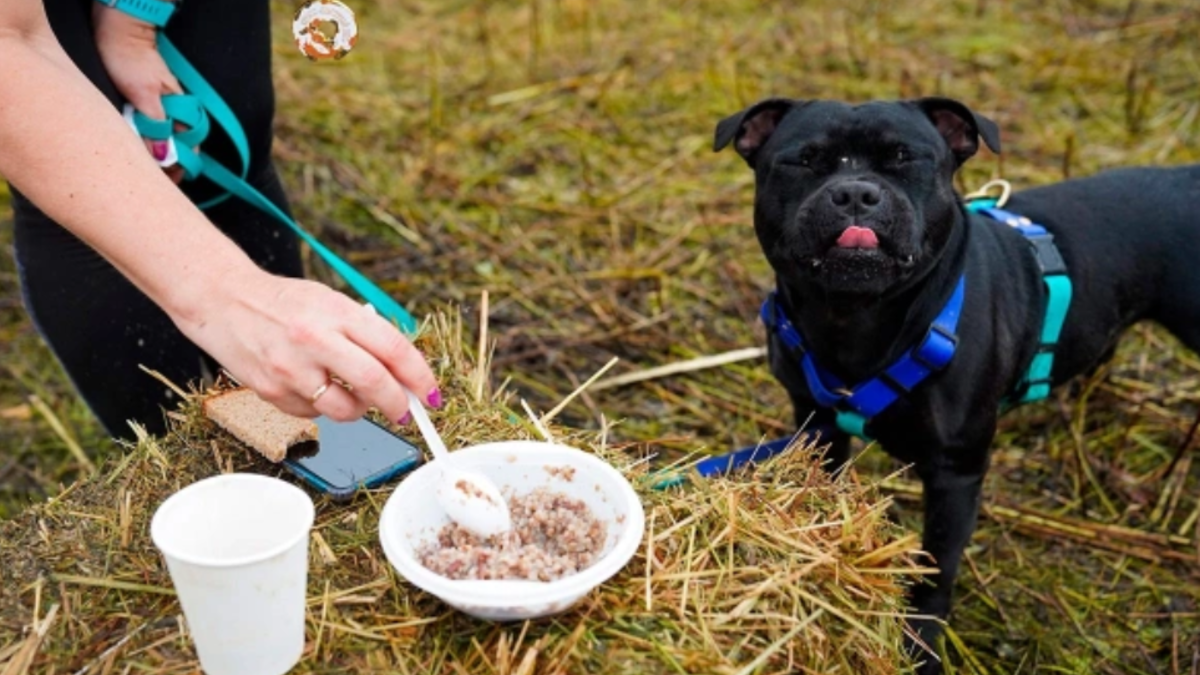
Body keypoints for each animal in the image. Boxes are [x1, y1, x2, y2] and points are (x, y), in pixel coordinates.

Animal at [710, 97, 1200, 667]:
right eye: (804, 160)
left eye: (905, 158)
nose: (855, 193)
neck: (854, 319)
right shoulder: (818, 427)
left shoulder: (955, 472)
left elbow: (935, 566)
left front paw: (920, 646)